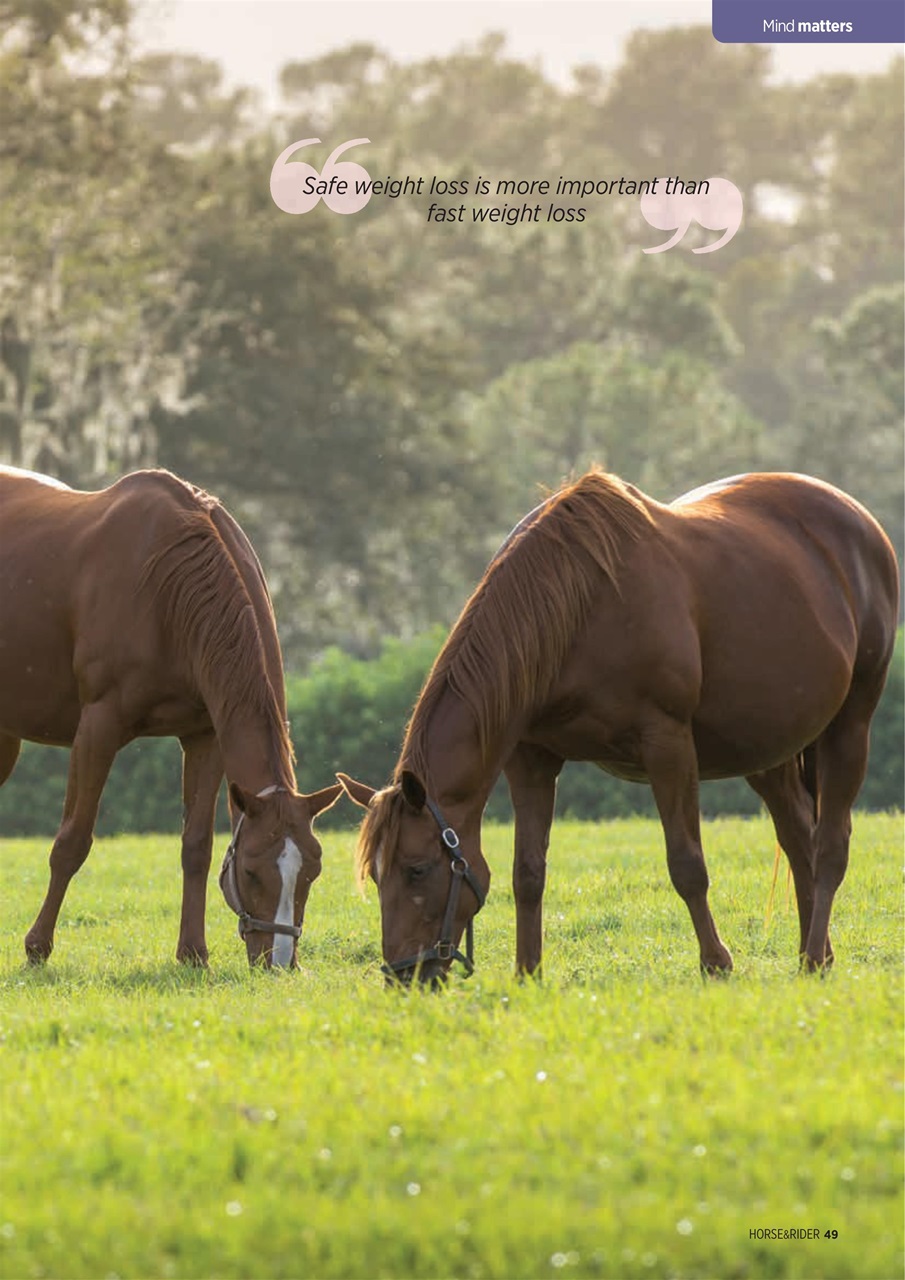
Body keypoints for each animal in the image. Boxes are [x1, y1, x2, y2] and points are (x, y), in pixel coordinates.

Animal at [0, 466, 341, 967]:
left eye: (312, 870)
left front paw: (193, 951)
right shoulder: (97, 729)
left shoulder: (205, 736)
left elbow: (195, 846)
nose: (279, 961)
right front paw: (37, 947)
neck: (164, 582)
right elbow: (72, 842)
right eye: (252, 871)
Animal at [338, 469, 899, 984]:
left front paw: (715, 963)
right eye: (376, 874)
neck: (576, 606)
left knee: (830, 847)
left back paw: (813, 955)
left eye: (417, 868)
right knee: (800, 839)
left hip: (851, 726)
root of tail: (862, 523)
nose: (404, 975)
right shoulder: (531, 759)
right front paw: (527, 972)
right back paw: (814, 957)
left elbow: (687, 865)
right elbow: (528, 873)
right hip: (767, 751)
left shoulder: (668, 746)